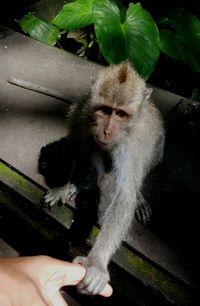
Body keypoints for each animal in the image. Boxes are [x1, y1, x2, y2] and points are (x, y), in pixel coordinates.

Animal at [41, 61, 164, 296]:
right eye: (105, 110)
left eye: (120, 114)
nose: (106, 131)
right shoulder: (84, 109)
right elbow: (74, 141)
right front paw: (62, 187)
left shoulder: (133, 143)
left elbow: (125, 194)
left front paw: (96, 264)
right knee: (89, 141)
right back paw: (85, 183)